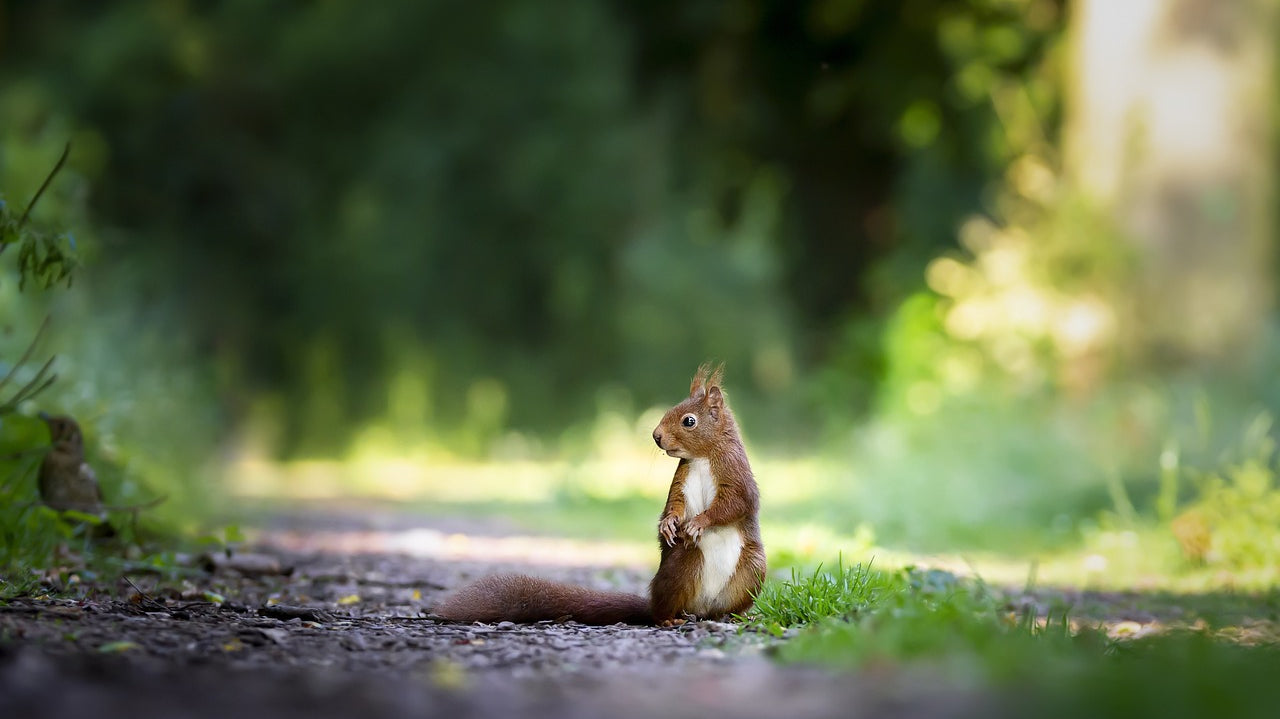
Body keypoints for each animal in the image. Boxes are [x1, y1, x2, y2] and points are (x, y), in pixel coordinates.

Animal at [432, 363, 766, 625]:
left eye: (689, 421)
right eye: (670, 410)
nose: (656, 436)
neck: (702, 457)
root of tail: (700, 608)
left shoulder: (735, 474)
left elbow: (735, 504)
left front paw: (698, 522)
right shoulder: (681, 479)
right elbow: (675, 504)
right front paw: (668, 524)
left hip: (752, 569)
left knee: (724, 604)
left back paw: (732, 616)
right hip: (683, 564)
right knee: (664, 608)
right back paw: (669, 618)